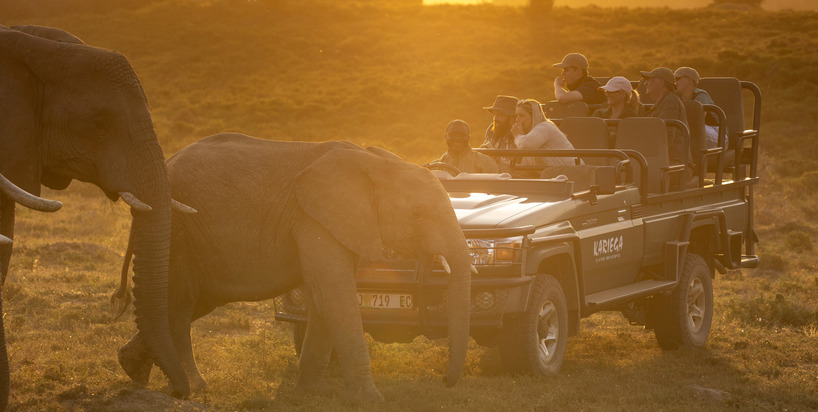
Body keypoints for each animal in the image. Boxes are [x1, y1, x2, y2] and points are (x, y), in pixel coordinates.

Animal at [111, 134, 474, 402]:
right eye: (418, 216)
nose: (445, 381)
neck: (378, 163)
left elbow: (324, 297)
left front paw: (311, 393)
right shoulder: (313, 218)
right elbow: (334, 293)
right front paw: (372, 400)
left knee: (188, 301)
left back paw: (132, 368)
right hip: (179, 230)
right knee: (179, 303)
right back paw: (194, 386)